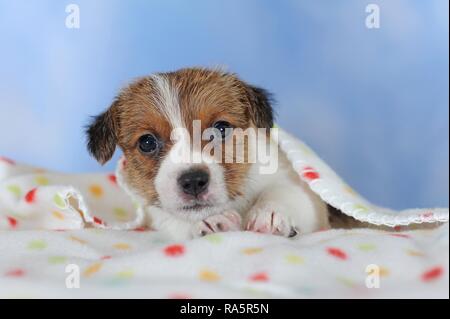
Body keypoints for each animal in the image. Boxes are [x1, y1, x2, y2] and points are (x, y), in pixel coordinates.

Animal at [86, 67, 328, 240]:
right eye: (147, 142)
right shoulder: (156, 214)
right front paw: (211, 221)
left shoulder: (301, 189)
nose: (193, 181)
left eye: (220, 129)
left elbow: (284, 191)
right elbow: (173, 219)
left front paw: (269, 212)